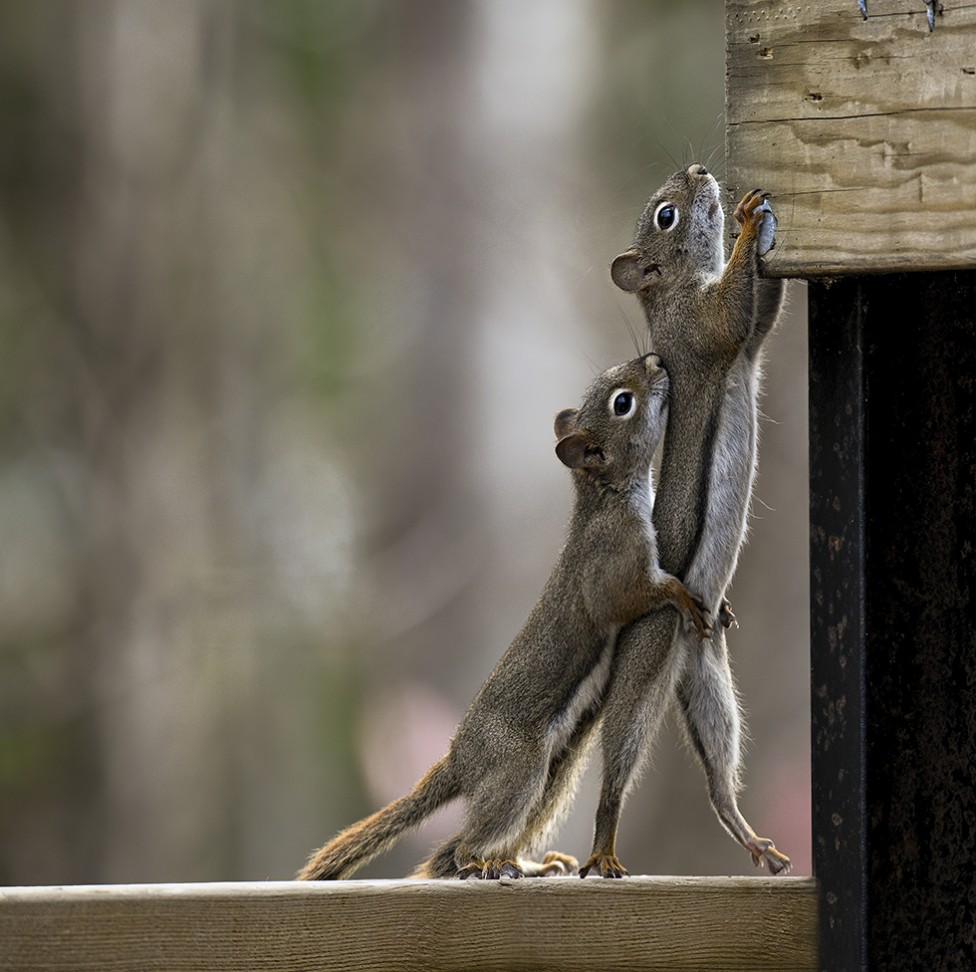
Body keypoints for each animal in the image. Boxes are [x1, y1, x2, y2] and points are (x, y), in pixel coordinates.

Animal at [300, 352, 708, 880]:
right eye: (623, 403)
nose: (655, 361)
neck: (608, 497)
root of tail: (461, 761)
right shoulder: (613, 565)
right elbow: (632, 596)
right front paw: (681, 594)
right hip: (519, 771)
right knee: (469, 843)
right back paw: (483, 864)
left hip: (548, 775)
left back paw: (527, 865)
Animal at [580, 167, 792, 880]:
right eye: (665, 216)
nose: (699, 173)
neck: (670, 293)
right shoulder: (704, 330)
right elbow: (732, 309)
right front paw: (748, 221)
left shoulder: (749, 336)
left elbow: (764, 310)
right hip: (646, 667)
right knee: (616, 771)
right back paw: (603, 848)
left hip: (709, 684)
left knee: (718, 776)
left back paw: (751, 839)